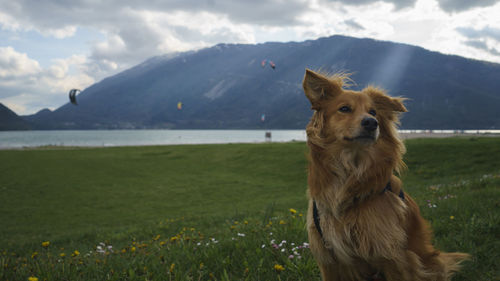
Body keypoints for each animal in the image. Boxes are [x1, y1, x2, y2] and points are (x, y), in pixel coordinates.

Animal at [302, 68, 470, 280]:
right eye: (344, 109)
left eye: (373, 112)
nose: (371, 123)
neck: (350, 170)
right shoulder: (329, 258)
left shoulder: (390, 253)